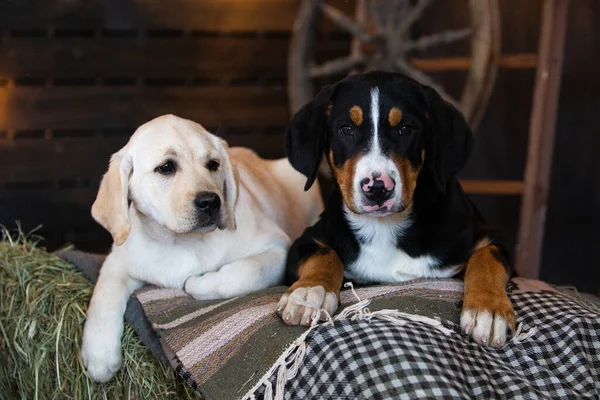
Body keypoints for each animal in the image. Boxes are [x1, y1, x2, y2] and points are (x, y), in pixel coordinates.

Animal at [82, 114, 324, 382]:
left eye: (213, 165)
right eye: (166, 167)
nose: (211, 202)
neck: (180, 241)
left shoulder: (277, 246)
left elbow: (246, 272)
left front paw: (196, 283)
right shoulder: (118, 259)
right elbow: (103, 294)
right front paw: (99, 355)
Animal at [276, 71, 516, 346]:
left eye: (405, 129)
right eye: (346, 129)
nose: (378, 188)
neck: (384, 227)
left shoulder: (490, 236)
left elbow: (486, 257)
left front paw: (489, 309)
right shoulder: (307, 239)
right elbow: (324, 254)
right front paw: (308, 293)